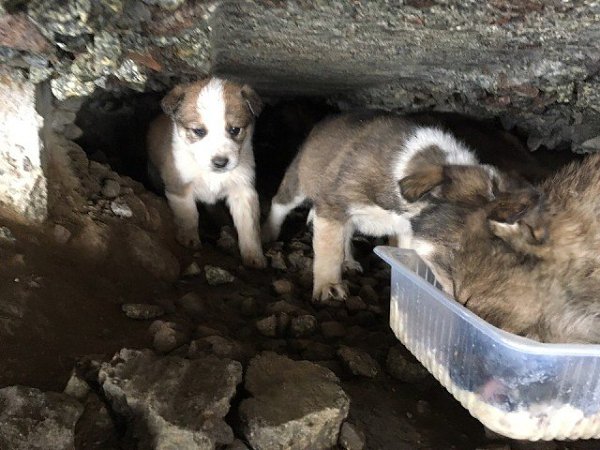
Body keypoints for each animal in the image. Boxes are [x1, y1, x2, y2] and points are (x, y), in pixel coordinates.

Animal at [147, 77, 267, 268]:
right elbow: (188, 214)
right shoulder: (179, 187)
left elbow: (249, 226)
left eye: (235, 130)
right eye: (199, 131)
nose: (220, 162)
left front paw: (254, 255)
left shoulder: (243, 191)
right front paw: (188, 238)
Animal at [262, 110, 511, 301]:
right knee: (279, 204)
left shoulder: (405, 231)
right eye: (455, 250)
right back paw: (268, 234)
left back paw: (349, 261)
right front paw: (328, 287)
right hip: (297, 180)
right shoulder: (332, 209)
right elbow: (328, 252)